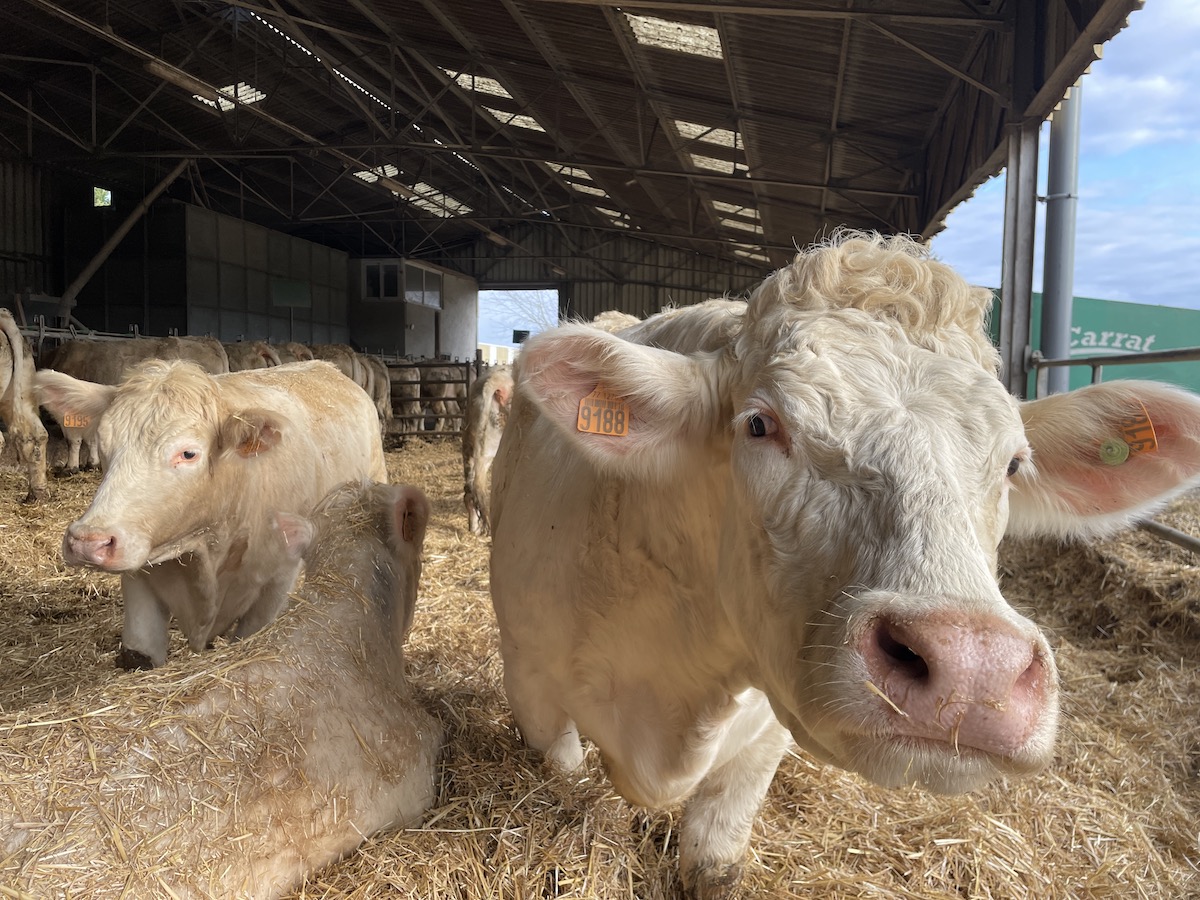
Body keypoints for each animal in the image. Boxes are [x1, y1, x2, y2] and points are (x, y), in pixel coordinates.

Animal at [35, 359, 387, 669]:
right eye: (104, 443)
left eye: (188, 453)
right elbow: (140, 653)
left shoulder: (277, 580)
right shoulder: (139, 578)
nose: (87, 542)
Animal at [489, 231, 1200, 898]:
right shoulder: (530, 675)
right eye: (759, 425)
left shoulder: (760, 739)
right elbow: (562, 769)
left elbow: (717, 856)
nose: (974, 668)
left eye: (1013, 464)